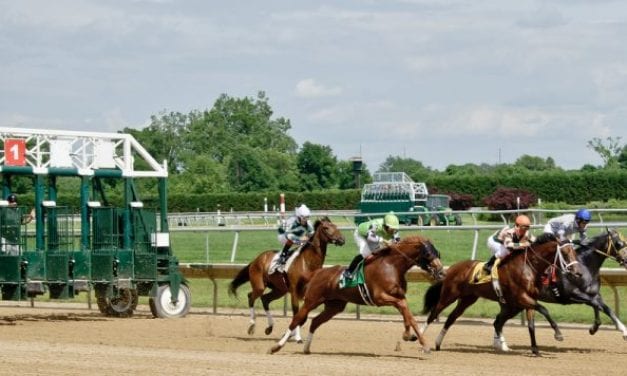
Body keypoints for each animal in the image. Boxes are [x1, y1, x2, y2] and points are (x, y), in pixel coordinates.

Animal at [270, 235, 446, 356]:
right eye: (428, 254)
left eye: (438, 253)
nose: (442, 273)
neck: (391, 266)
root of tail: (318, 272)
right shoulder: (379, 297)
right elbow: (403, 308)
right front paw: (412, 338)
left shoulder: (399, 296)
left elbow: (408, 315)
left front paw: (415, 339)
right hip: (311, 300)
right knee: (297, 319)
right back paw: (276, 346)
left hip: (334, 306)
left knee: (315, 322)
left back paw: (307, 348)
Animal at [422, 234, 584, 356]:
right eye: (565, 253)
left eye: (575, 252)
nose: (578, 272)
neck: (528, 266)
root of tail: (451, 269)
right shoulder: (522, 297)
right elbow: (544, 309)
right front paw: (558, 334)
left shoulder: (529, 299)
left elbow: (531, 325)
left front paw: (535, 349)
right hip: (449, 295)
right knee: (433, 314)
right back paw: (422, 339)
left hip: (469, 299)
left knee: (453, 318)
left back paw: (438, 343)